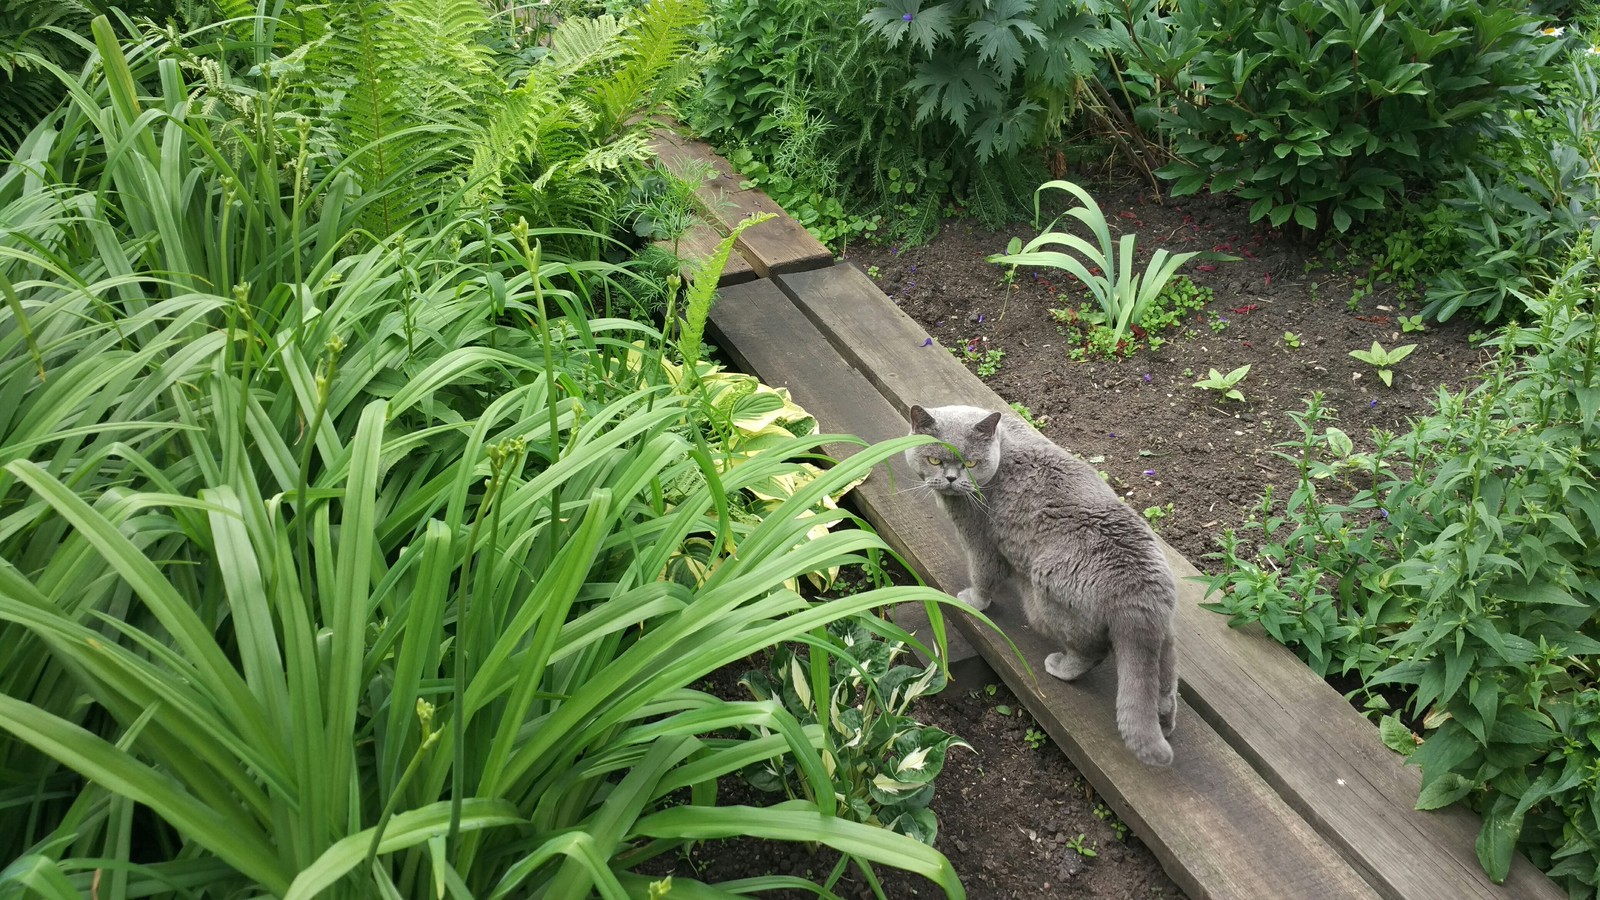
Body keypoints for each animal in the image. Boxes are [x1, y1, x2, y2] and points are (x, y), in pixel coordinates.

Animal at [908, 403, 1184, 759]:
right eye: (935, 460)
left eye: (970, 463)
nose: (952, 479)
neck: (1005, 441)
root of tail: (1141, 593)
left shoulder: (980, 538)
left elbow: (983, 574)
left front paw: (972, 601)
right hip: (1164, 639)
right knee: (1164, 682)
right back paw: (1165, 720)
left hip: (1046, 598)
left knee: (1091, 652)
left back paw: (1060, 666)